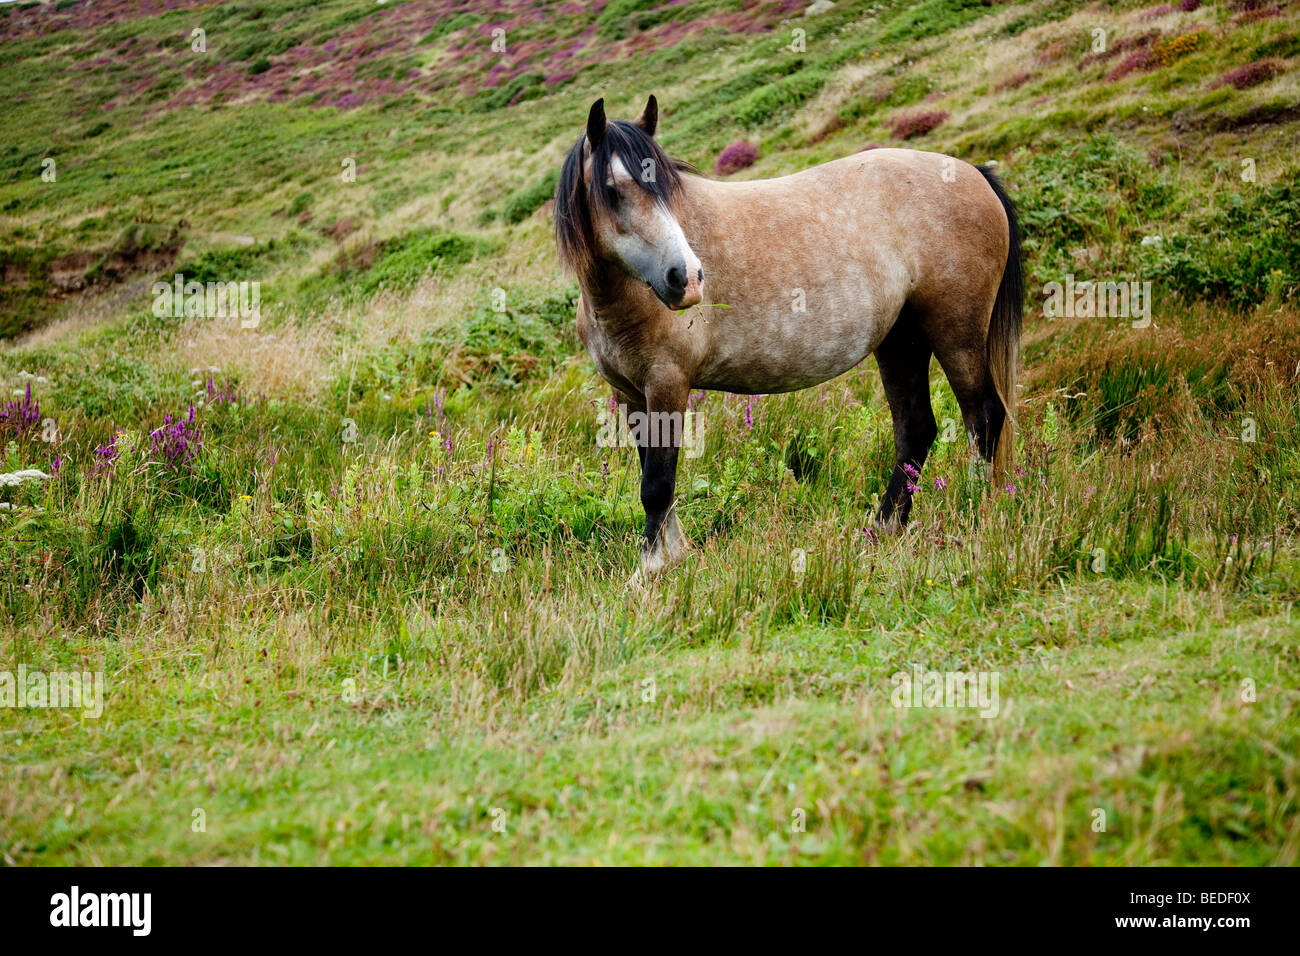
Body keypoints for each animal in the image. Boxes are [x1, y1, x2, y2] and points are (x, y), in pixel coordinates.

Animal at [555, 95, 1022, 579]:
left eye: (666, 189)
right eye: (613, 190)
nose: (686, 278)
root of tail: (973, 173)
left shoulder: (667, 383)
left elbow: (657, 484)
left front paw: (650, 569)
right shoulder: (629, 392)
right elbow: (651, 471)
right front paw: (671, 554)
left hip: (957, 333)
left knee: (983, 417)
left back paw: (974, 508)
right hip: (901, 340)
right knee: (916, 429)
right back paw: (883, 528)